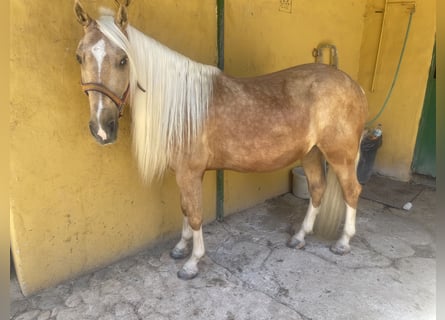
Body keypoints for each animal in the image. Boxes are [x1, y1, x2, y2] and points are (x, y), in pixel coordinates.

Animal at [74, 0, 368, 280]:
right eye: (79, 57)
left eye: (123, 59)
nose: (102, 129)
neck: (181, 106)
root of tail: (354, 86)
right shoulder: (186, 174)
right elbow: (184, 208)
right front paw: (181, 248)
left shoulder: (190, 173)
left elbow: (194, 214)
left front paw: (192, 262)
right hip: (311, 153)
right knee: (317, 189)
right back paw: (299, 237)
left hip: (340, 155)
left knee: (352, 191)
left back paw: (343, 243)